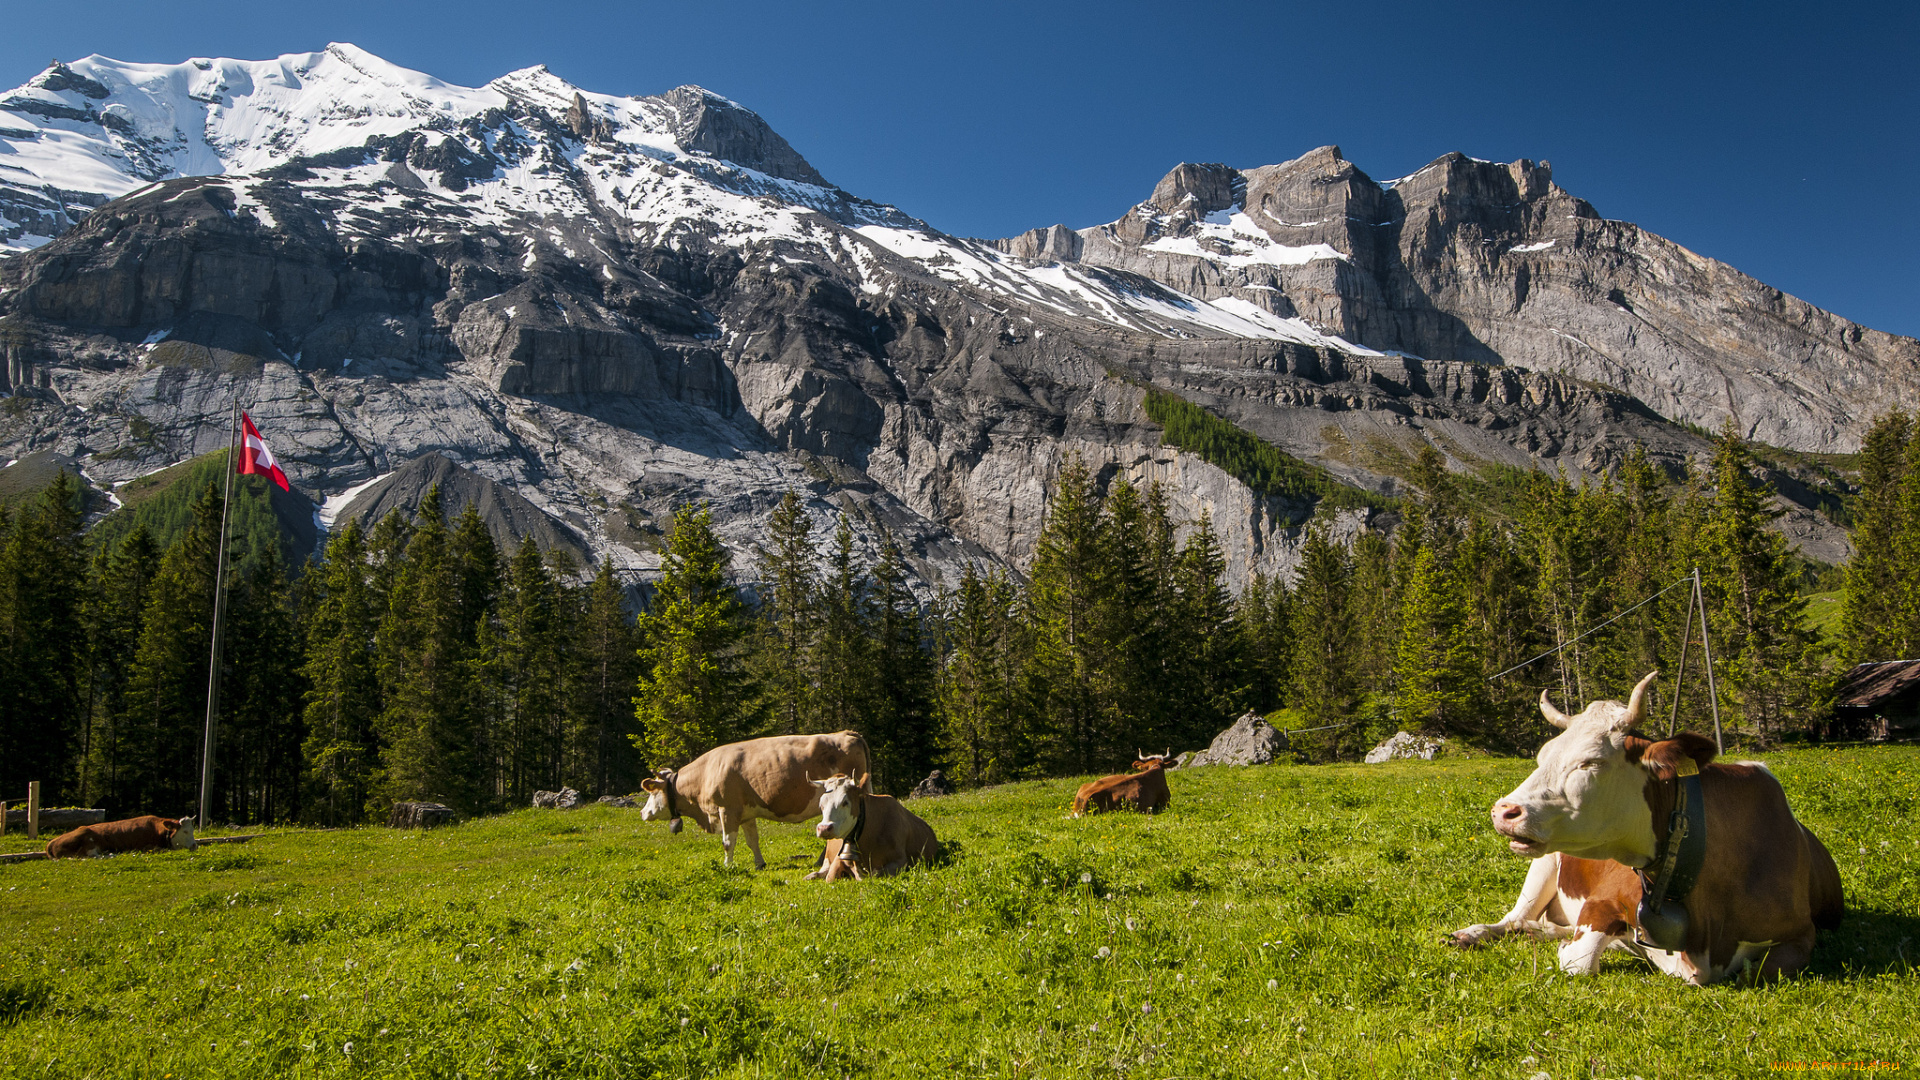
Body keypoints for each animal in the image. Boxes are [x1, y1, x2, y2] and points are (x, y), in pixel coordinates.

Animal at [45, 814, 197, 857]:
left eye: (193, 830)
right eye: (185, 831)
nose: (195, 846)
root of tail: (51, 843)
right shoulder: (145, 846)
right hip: (88, 841)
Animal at [637, 722, 871, 864]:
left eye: (652, 793)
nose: (642, 813)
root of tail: (847, 733)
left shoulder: (727, 810)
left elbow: (728, 842)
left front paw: (728, 866)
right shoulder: (746, 814)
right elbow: (752, 840)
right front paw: (759, 863)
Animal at [798, 768, 940, 880]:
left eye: (845, 802)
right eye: (821, 803)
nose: (824, 828)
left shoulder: (900, 861)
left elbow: (876, 874)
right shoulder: (839, 859)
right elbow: (830, 876)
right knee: (821, 871)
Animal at [1451, 668, 1843, 980]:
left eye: (1591, 762)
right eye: (1542, 755)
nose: (1503, 811)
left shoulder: (1802, 934)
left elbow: (1760, 970)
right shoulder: (1603, 900)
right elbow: (1579, 960)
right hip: (1544, 865)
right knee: (1512, 918)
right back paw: (1471, 933)